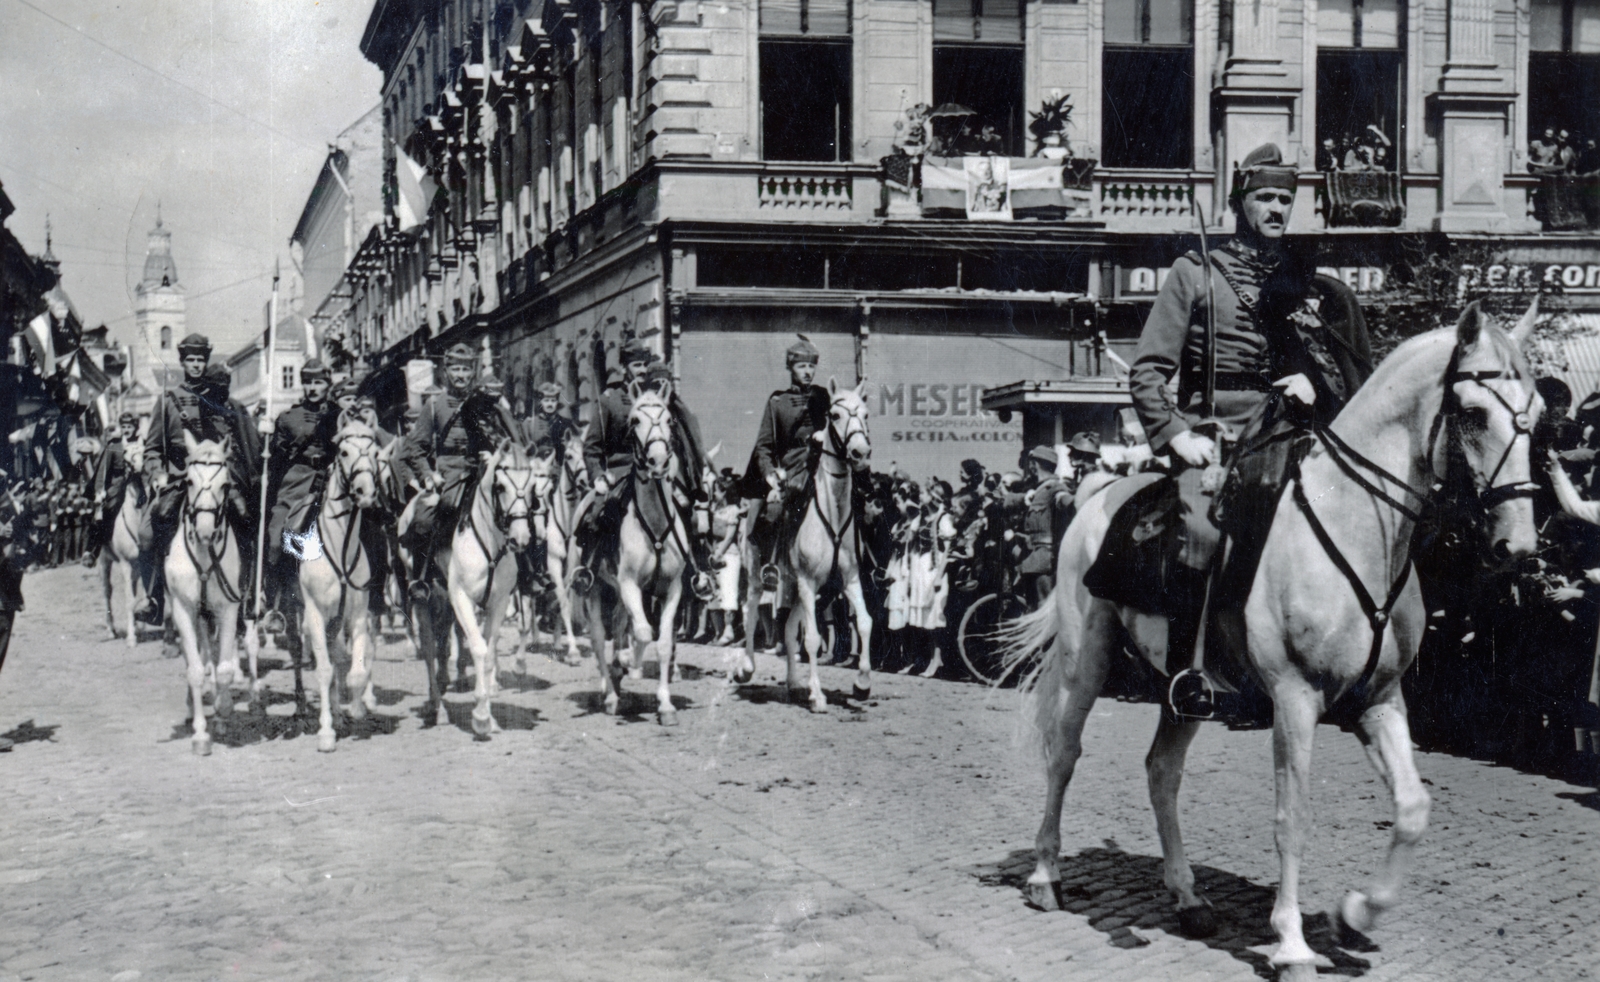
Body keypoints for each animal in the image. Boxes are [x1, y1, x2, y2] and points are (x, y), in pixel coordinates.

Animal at [168, 433, 255, 756]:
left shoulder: (228, 609)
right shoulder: (183, 609)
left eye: (225, 485)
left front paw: (222, 711)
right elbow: (194, 670)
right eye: (189, 481)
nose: (205, 531)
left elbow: (226, 668)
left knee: (217, 655)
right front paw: (200, 734)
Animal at [297, 422, 383, 753]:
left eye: (375, 452)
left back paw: (339, 711)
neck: (339, 544)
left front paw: (356, 709)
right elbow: (323, 671)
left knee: (338, 661)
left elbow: (354, 671)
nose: (365, 492)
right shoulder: (315, 615)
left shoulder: (356, 616)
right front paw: (326, 733)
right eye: (343, 452)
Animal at [446, 440, 536, 737]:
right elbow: (479, 647)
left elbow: (488, 649)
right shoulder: (460, 597)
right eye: (501, 487)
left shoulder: (498, 602)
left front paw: (486, 709)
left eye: (532, 488)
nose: (520, 538)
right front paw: (481, 715)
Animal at [584, 385, 694, 724]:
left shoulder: (672, 589)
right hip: (594, 588)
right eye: (634, 421)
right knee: (599, 638)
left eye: (669, 419)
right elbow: (644, 633)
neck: (655, 523)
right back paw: (609, 693)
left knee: (620, 624)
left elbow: (663, 643)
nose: (657, 462)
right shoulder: (630, 585)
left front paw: (665, 704)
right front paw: (627, 663)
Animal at [997, 303, 1541, 981]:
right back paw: (1046, 875)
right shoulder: (1294, 699)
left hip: (1184, 691)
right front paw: (1291, 943)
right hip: (1084, 662)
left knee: (1161, 772)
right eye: (1472, 411)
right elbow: (1293, 817)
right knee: (1064, 754)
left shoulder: (1379, 699)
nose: (1518, 546)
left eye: (1539, 411)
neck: (1352, 523)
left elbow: (1414, 809)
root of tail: (1098, 495)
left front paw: (1354, 913)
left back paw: (1187, 896)